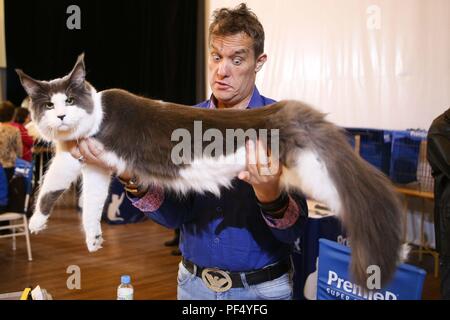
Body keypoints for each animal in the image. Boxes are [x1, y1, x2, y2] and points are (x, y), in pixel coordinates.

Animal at [16, 53, 404, 286]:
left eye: (69, 101)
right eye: (48, 104)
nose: (60, 116)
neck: (95, 113)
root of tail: (289, 113)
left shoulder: (78, 155)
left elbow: (51, 185)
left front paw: (36, 221)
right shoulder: (96, 166)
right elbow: (89, 203)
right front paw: (90, 237)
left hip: (318, 174)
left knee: (364, 202)